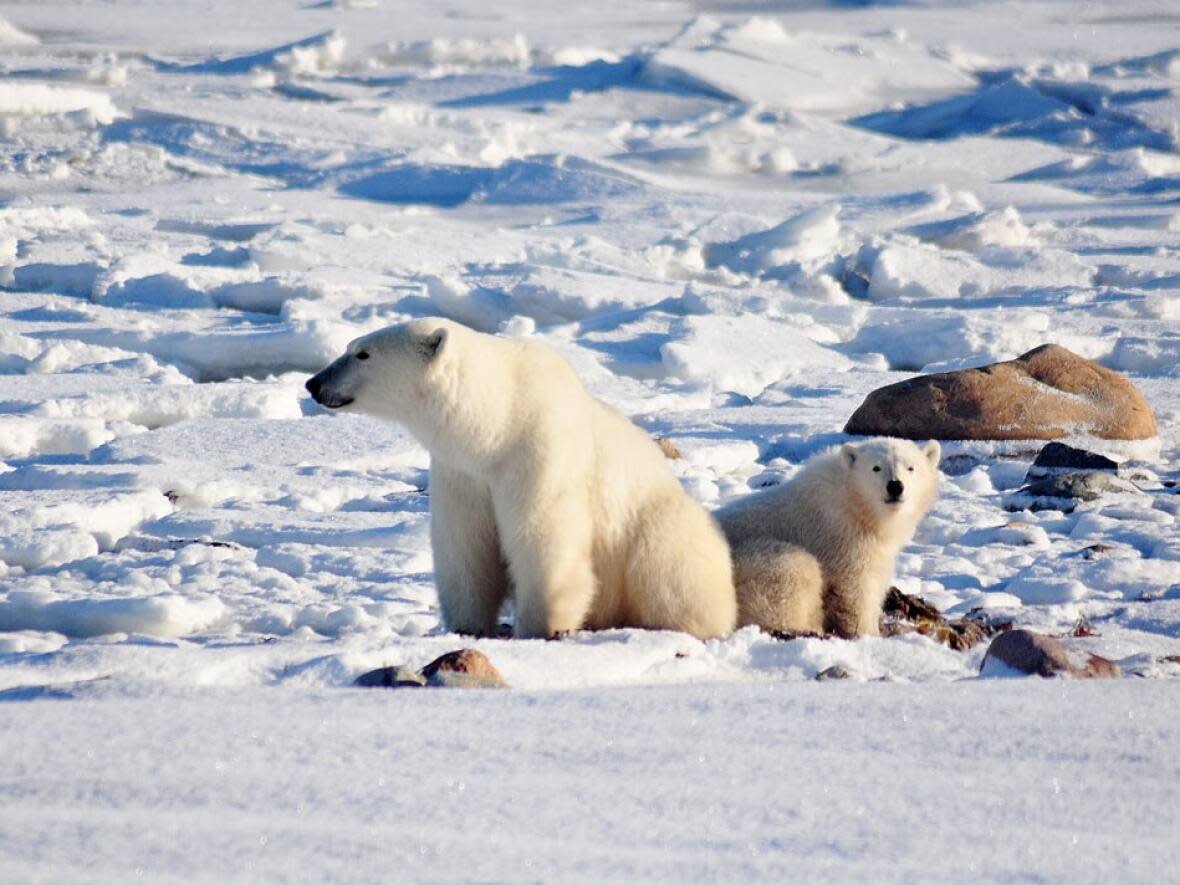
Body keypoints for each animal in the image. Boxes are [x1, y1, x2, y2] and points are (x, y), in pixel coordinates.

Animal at [304, 323, 736, 641]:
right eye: (350, 346)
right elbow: (465, 545)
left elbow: (543, 537)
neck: (500, 420)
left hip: (656, 528)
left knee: (669, 569)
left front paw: (541, 628)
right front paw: (466, 627)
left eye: (363, 353)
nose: (313, 383)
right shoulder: (462, 473)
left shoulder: (539, 454)